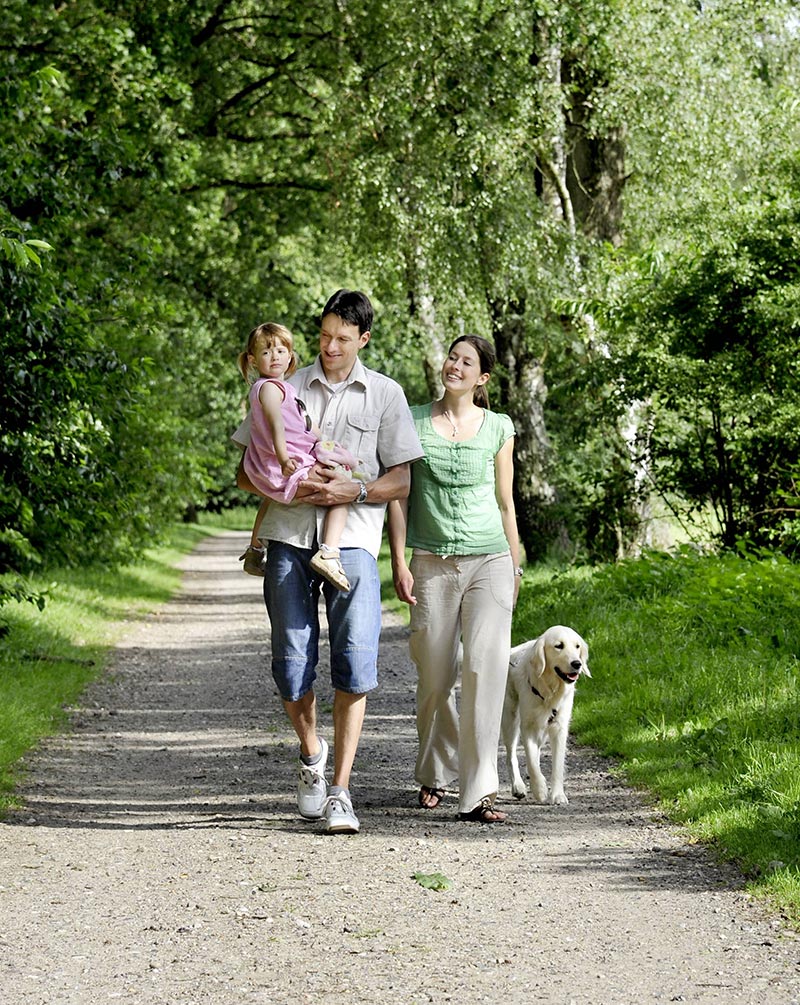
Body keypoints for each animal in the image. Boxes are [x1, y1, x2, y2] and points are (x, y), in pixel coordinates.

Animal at [502, 623, 590, 804]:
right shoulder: (527, 726)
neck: (550, 689)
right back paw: (518, 786)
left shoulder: (559, 726)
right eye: (559, 646)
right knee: (511, 754)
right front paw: (540, 790)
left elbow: (557, 765)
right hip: (510, 717)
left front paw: (557, 795)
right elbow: (531, 761)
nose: (577, 663)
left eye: (577, 646)